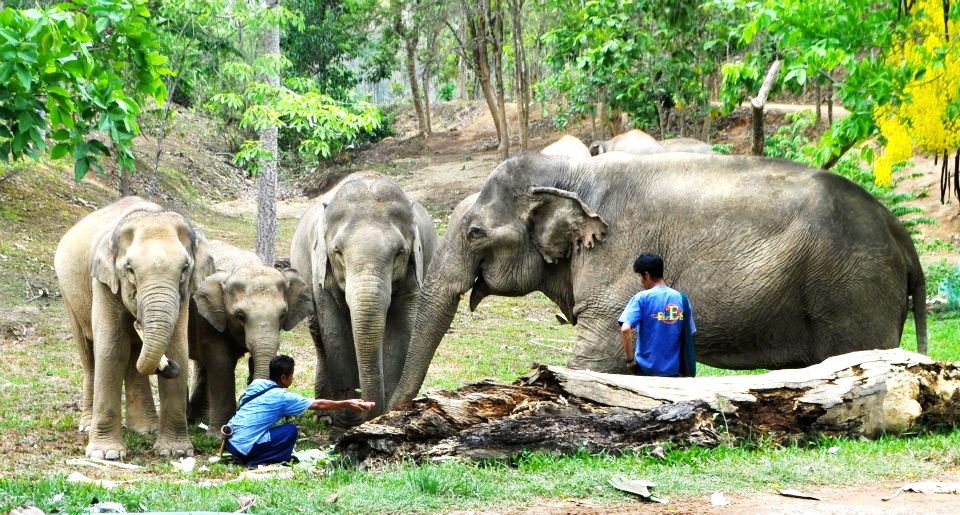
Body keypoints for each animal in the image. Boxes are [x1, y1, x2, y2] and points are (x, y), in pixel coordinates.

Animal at [56, 197, 216, 460]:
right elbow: (111, 350)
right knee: (89, 356)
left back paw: (145, 429)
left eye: (185, 268)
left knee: (133, 358)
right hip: (68, 296)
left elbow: (177, 348)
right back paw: (87, 426)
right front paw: (106, 454)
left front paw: (175, 452)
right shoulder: (103, 281)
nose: (169, 368)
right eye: (129, 269)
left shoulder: (184, 295)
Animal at [191, 240, 316, 434]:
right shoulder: (209, 317)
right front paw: (219, 434)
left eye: (282, 314)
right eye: (240, 316)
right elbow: (221, 361)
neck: (247, 265)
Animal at [290, 171, 440, 426]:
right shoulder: (321, 271)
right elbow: (336, 332)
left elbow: (401, 329)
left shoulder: (413, 276)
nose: (367, 406)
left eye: (399, 253)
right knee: (319, 337)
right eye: (338, 252)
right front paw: (345, 419)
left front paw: (382, 415)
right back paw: (324, 417)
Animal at [386, 151, 928, 410]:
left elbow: (598, 357)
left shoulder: (615, 259)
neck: (571, 172)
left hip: (854, 290)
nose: (383, 412)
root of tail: (900, 234)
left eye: (475, 233)